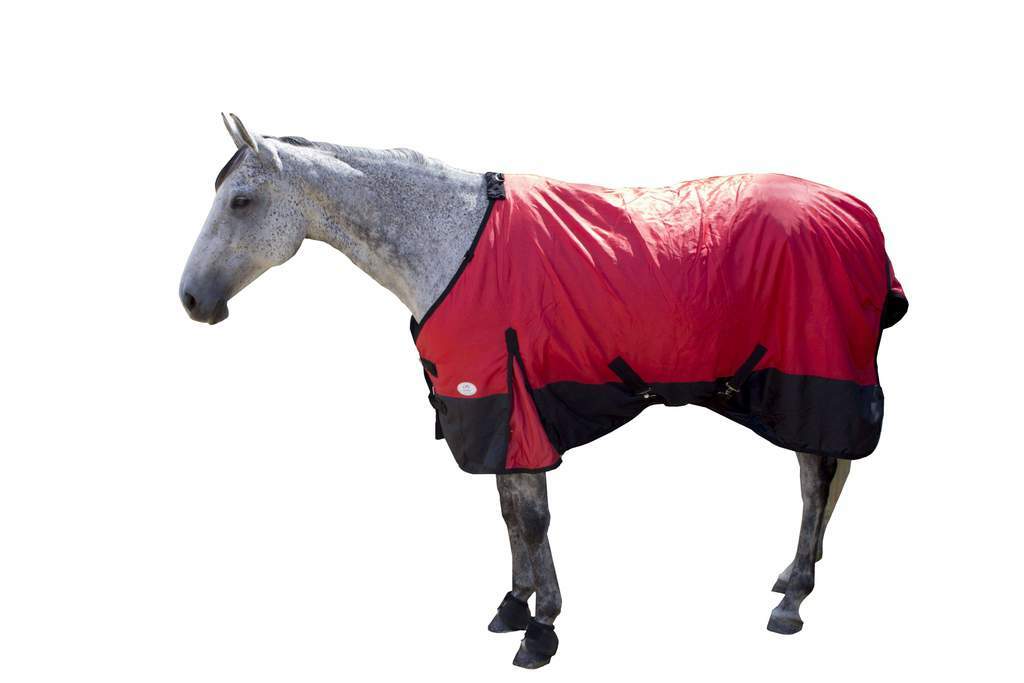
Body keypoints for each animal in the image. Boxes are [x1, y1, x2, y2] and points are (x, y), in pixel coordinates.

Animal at [180, 114, 907, 668]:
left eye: (241, 201)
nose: (191, 300)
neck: (451, 243)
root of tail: (854, 211)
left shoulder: (513, 402)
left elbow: (531, 518)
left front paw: (542, 628)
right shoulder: (493, 409)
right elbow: (509, 513)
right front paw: (513, 604)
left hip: (818, 376)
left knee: (815, 477)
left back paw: (793, 599)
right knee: (827, 472)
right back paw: (795, 574)